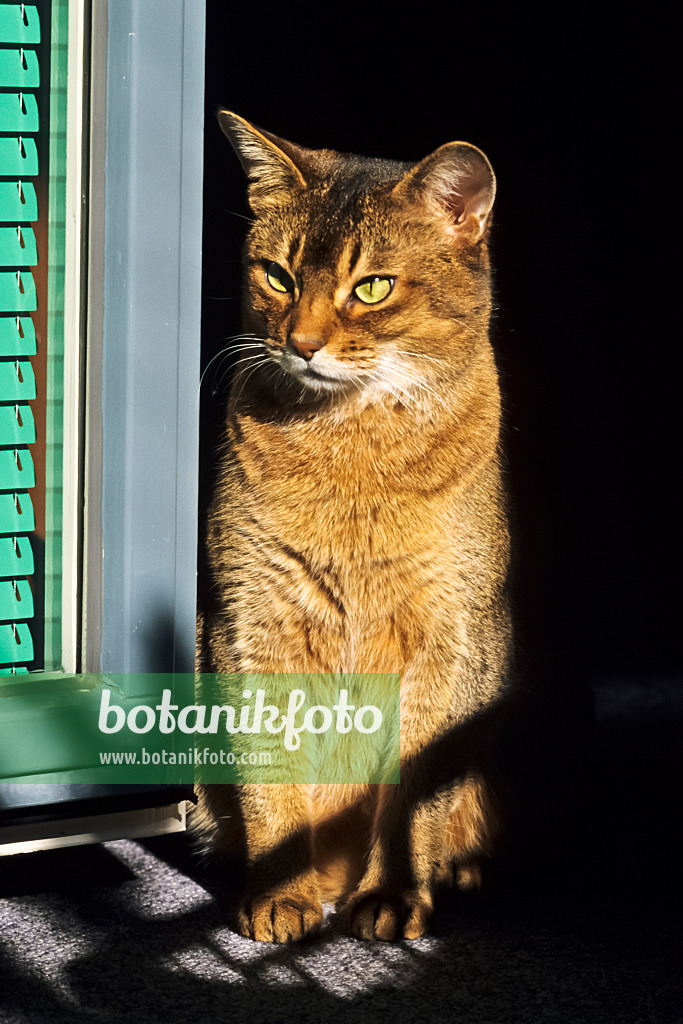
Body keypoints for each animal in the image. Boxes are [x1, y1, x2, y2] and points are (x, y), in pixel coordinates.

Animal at [193, 112, 518, 942]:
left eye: (371, 286)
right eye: (277, 276)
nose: (300, 344)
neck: (349, 449)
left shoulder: (447, 636)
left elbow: (414, 790)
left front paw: (394, 895)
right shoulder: (250, 618)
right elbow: (270, 772)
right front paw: (280, 893)